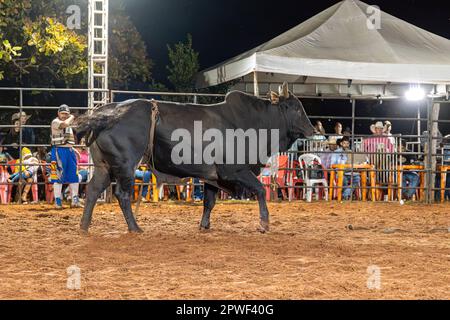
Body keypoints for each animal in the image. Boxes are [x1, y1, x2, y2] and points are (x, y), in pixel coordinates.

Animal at [74, 89, 312, 232]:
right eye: (295, 108)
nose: (311, 129)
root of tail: (107, 111)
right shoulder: (234, 171)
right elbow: (261, 190)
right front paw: (264, 223)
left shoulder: (212, 176)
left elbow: (209, 201)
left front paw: (204, 225)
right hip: (125, 164)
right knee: (122, 194)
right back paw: (135, 228)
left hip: (104, 166)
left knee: (93, 190)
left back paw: (84, 226)